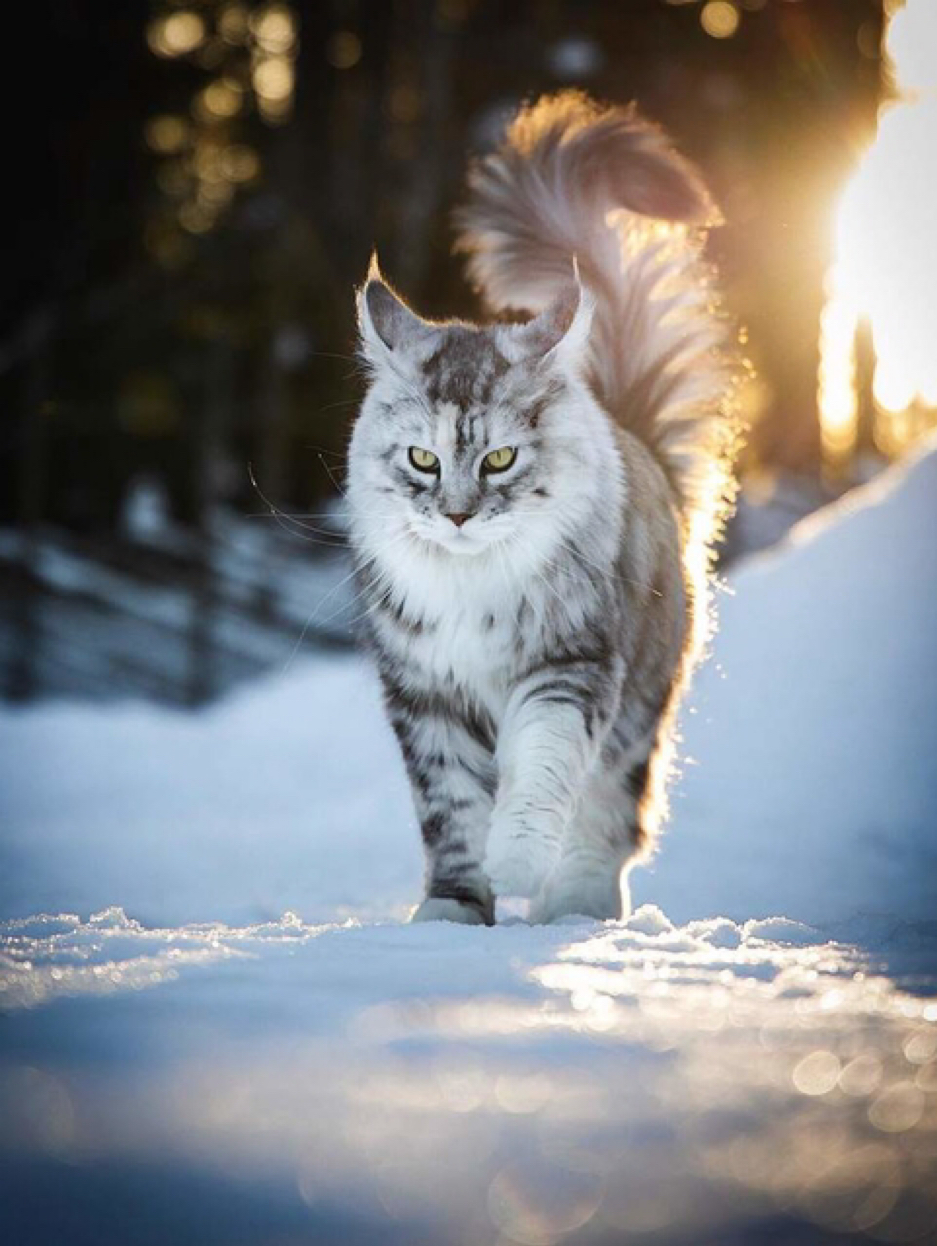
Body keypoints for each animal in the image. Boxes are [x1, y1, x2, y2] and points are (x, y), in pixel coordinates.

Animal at [343, 90, 737, 927]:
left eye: (499, 459)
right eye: (422, 460)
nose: (457, 515)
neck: (470, 589)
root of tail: (630, 435)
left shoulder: (568, 667)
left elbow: (540, 774)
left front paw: (515, 863)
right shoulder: (426, 694)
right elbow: (452, 812)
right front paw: (454, 910)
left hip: (638, 710)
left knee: (609, 818)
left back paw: (576, 908)